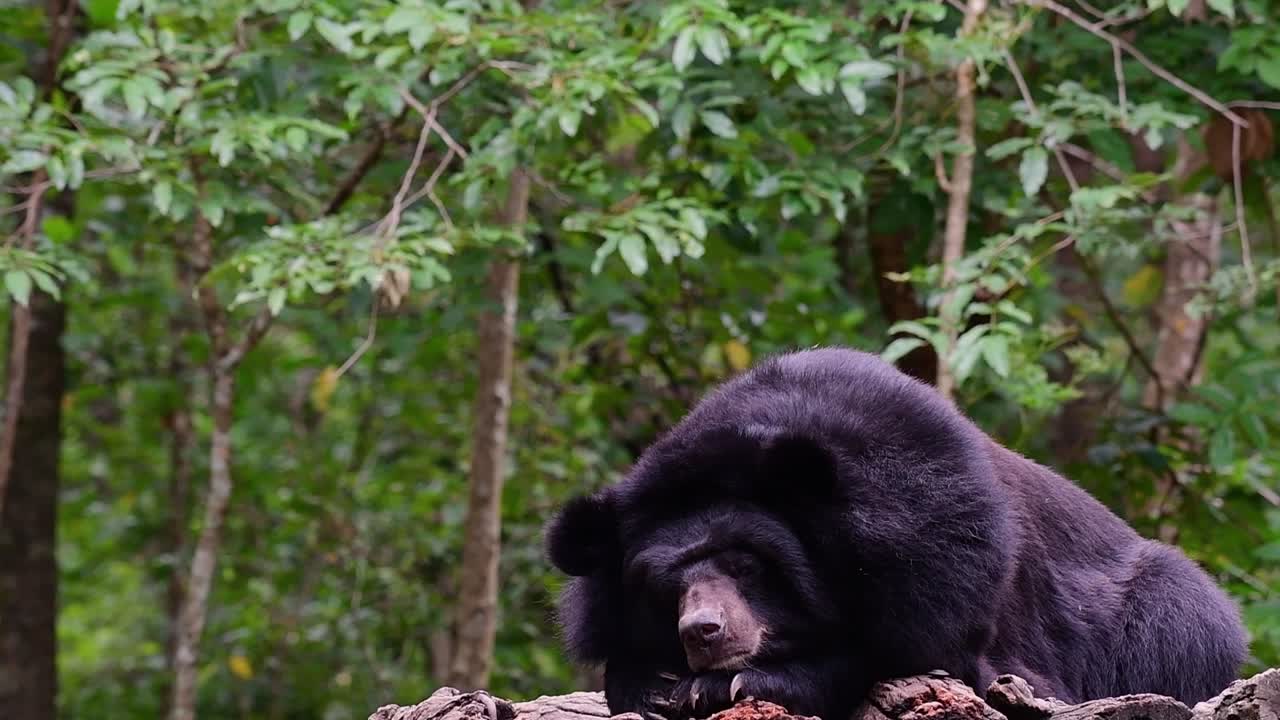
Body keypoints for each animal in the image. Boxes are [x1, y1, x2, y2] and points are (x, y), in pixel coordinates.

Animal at [545, 347, 1248, 720]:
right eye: (665, 587)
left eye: (746, 563)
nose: (704, 632)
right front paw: (658, 685)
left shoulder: (943, 551)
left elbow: (919, 655)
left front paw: (728, 685)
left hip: (1166, 620)